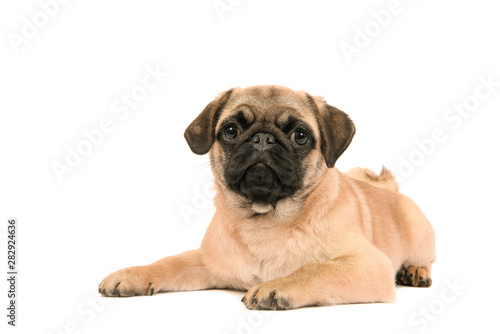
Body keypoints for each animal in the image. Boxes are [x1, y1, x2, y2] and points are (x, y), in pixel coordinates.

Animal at [97, 85, 434, 310]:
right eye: (231, 131)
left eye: (300, 136)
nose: (262, 138)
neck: (265, 221)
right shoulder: (206, 262)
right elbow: (169, 262)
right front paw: (134, 275)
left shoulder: (368, 265)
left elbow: (315, 269)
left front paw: (276, 287)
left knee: (424, 259)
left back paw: (416, 271)